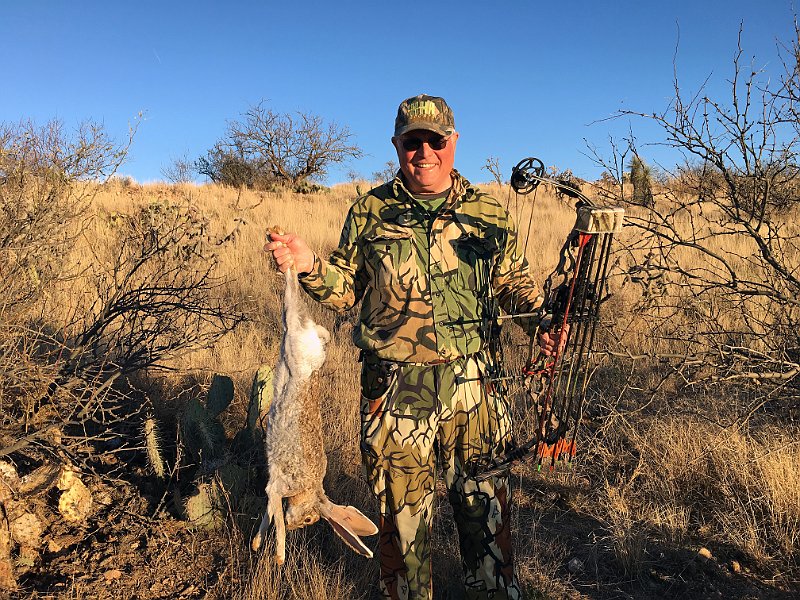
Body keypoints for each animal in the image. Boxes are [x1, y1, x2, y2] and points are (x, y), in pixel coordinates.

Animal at [251, 252, 378, 565]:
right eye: (310, 520)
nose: (298, 524)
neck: (308, 491)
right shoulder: (279, 487)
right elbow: (275, 513)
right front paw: (280, 554)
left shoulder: (275, 485)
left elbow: (268, 513)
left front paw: (259, 544)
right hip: (297, 344)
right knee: (291, 294)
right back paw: (288, 261)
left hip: (293, 339)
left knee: (293, 312)